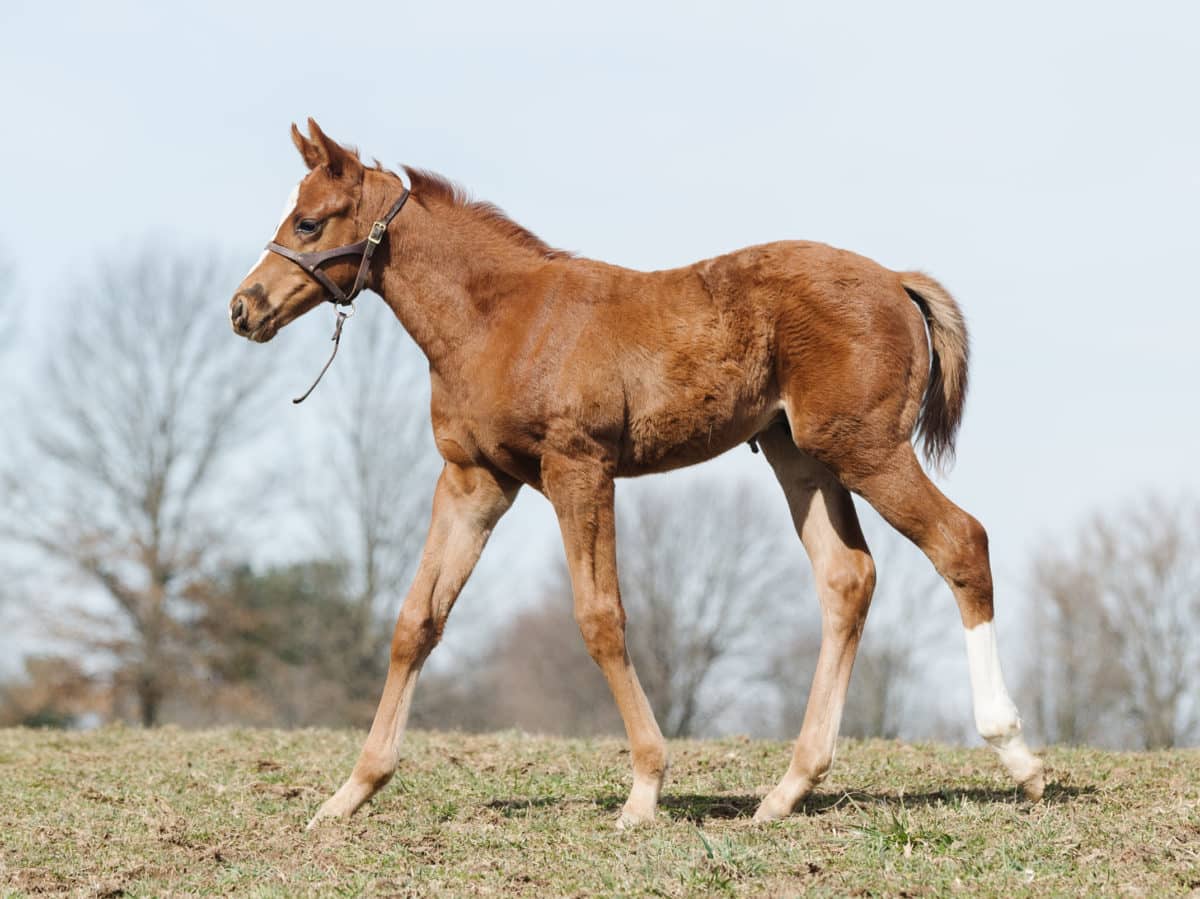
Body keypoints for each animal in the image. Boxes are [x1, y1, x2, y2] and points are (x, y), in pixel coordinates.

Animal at [229, 119, 1046, 825]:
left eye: (309, 223)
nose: (244, 307)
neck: (502, 319)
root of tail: (897, 279)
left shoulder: (578, 468)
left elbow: (601, 617)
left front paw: (646, 788)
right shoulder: (473, 477)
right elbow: (416, 619)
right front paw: (350, 793)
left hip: (865, 447)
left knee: (960, 541)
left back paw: (1017, 755)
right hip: (801, 456)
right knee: (848, 578)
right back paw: (787, 790)